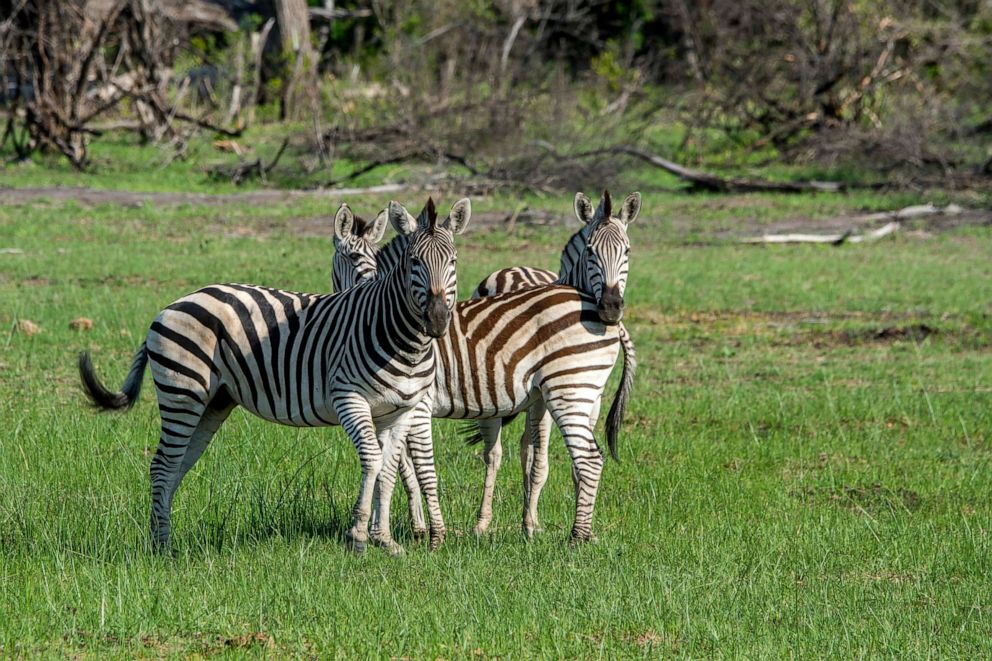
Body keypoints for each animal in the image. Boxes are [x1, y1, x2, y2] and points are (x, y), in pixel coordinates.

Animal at [77, 196, 472, 552]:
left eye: (453, 261)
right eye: (414, 261)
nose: (438, 320)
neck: (402, 339)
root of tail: (173, 304)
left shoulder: (401, 409)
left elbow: (389, 469)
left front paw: (386, 540)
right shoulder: (349, 398)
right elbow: (375, 461)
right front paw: (360, 536)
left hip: (212, 402)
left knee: (176, 466)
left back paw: (165, 542)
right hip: (183, 393)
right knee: (161, 466)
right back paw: (161, 549)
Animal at [338, 197, 636, 548]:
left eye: (627, 251)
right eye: (590, 251)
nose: (611, 306)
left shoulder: (415, 405)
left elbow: (409, 466)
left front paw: (418, 530)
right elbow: (396, 463)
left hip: (567, 391)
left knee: (587, 459)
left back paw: (576, 537)